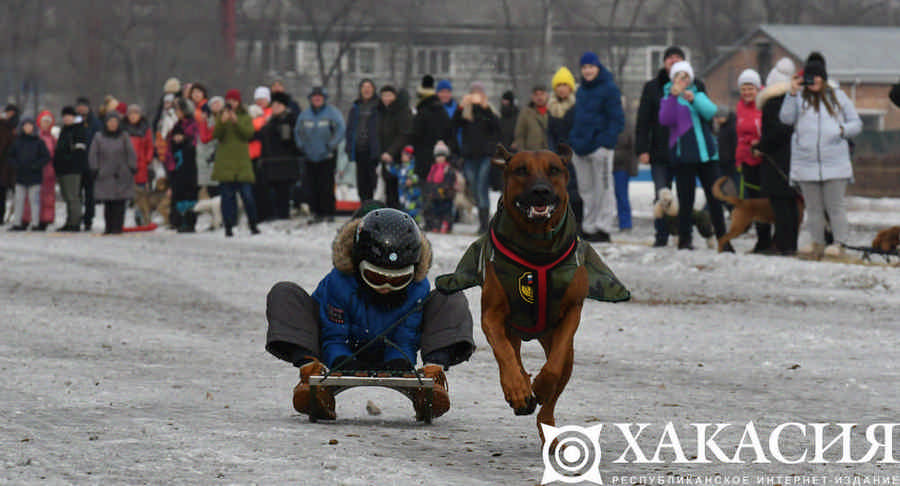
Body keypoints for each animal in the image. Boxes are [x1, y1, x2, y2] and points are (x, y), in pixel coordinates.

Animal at [434, 142, 628, 442]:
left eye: (554, 169)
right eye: (521, 170)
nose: (540, 190)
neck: (537, 246)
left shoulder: (571, 312)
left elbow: (556, 363)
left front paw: (542, 384)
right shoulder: (493, 315)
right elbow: (504, 354)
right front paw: (518, 389)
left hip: (558, 346)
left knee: (552, 394)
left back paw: (547, 423)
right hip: (512, 331)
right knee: (511, 356)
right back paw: (521, 390)